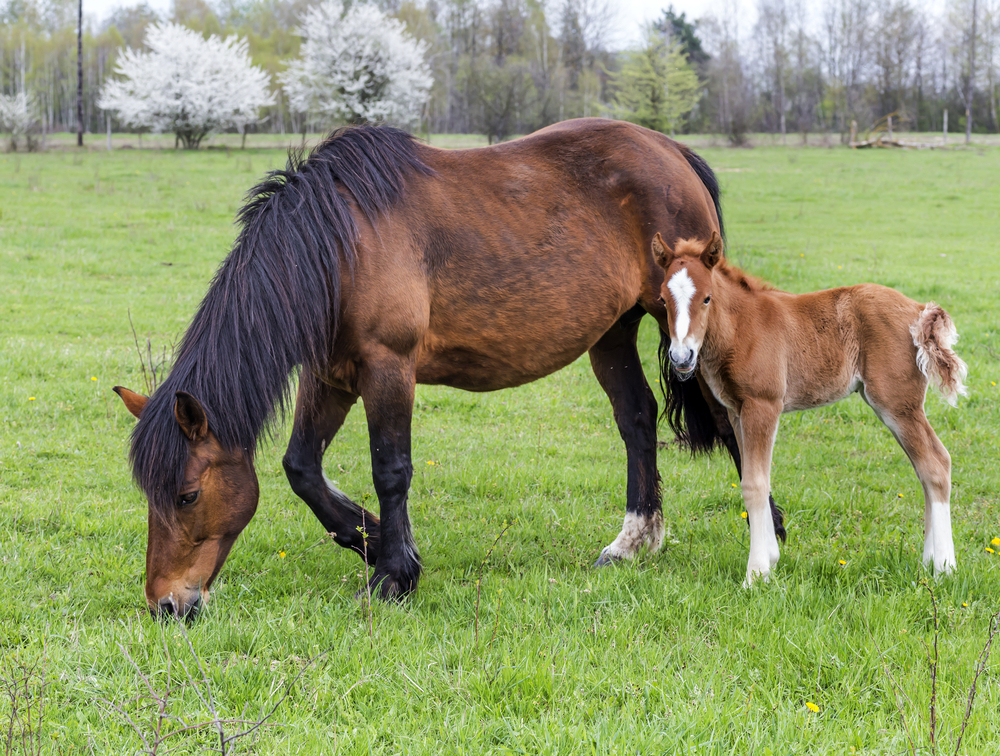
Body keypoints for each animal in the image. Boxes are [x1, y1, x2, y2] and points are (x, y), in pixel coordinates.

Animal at [112, 118, 783, 618]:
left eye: (187, 493)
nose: (165, 605)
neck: (339, 246)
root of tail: (672, 151)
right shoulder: (329, 375)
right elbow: (302, 468)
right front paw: (373, 540)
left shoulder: (387, 367)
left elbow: (391, 469)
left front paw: (393, 575)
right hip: (611, 332)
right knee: (637, 421)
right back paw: (632, 542)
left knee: (729, 420)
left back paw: (767, 532)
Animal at [652, 231, 967, 586]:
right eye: (663, 300)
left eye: (706, 298)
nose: (682, 358)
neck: (741, 327)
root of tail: (918, 310)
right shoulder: (737, 411)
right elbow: (755, 476)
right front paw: (771, 559)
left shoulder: (763, 405)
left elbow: (754, 484)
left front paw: (756, 573)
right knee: (926, 467)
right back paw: (929, 561)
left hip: (898, 404)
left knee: (935, 464)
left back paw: (944, 567)